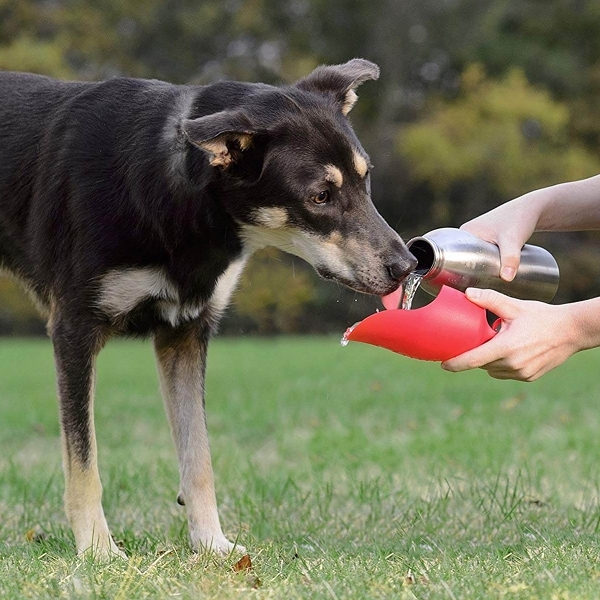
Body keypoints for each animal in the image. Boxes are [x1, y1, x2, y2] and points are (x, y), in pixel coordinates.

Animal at [0, 59, 418, 556]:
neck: (170, 186)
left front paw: (212, 544)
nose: (408, 265)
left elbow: (198, 456)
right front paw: (98, 551)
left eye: (365, 177)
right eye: (320, 196)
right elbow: (84, 461)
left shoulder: (185, 333)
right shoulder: (74, 330)